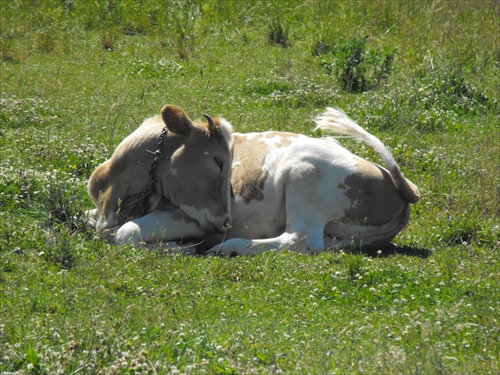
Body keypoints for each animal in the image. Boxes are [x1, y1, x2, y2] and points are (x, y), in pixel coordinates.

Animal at [88, 105, 420, 256]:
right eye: (218, 161)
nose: (225, 222)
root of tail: (400, 186)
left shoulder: (189, 218)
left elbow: (126, 234)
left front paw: (180, 247)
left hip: (302, 173)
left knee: (300, 239)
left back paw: (228, 247)